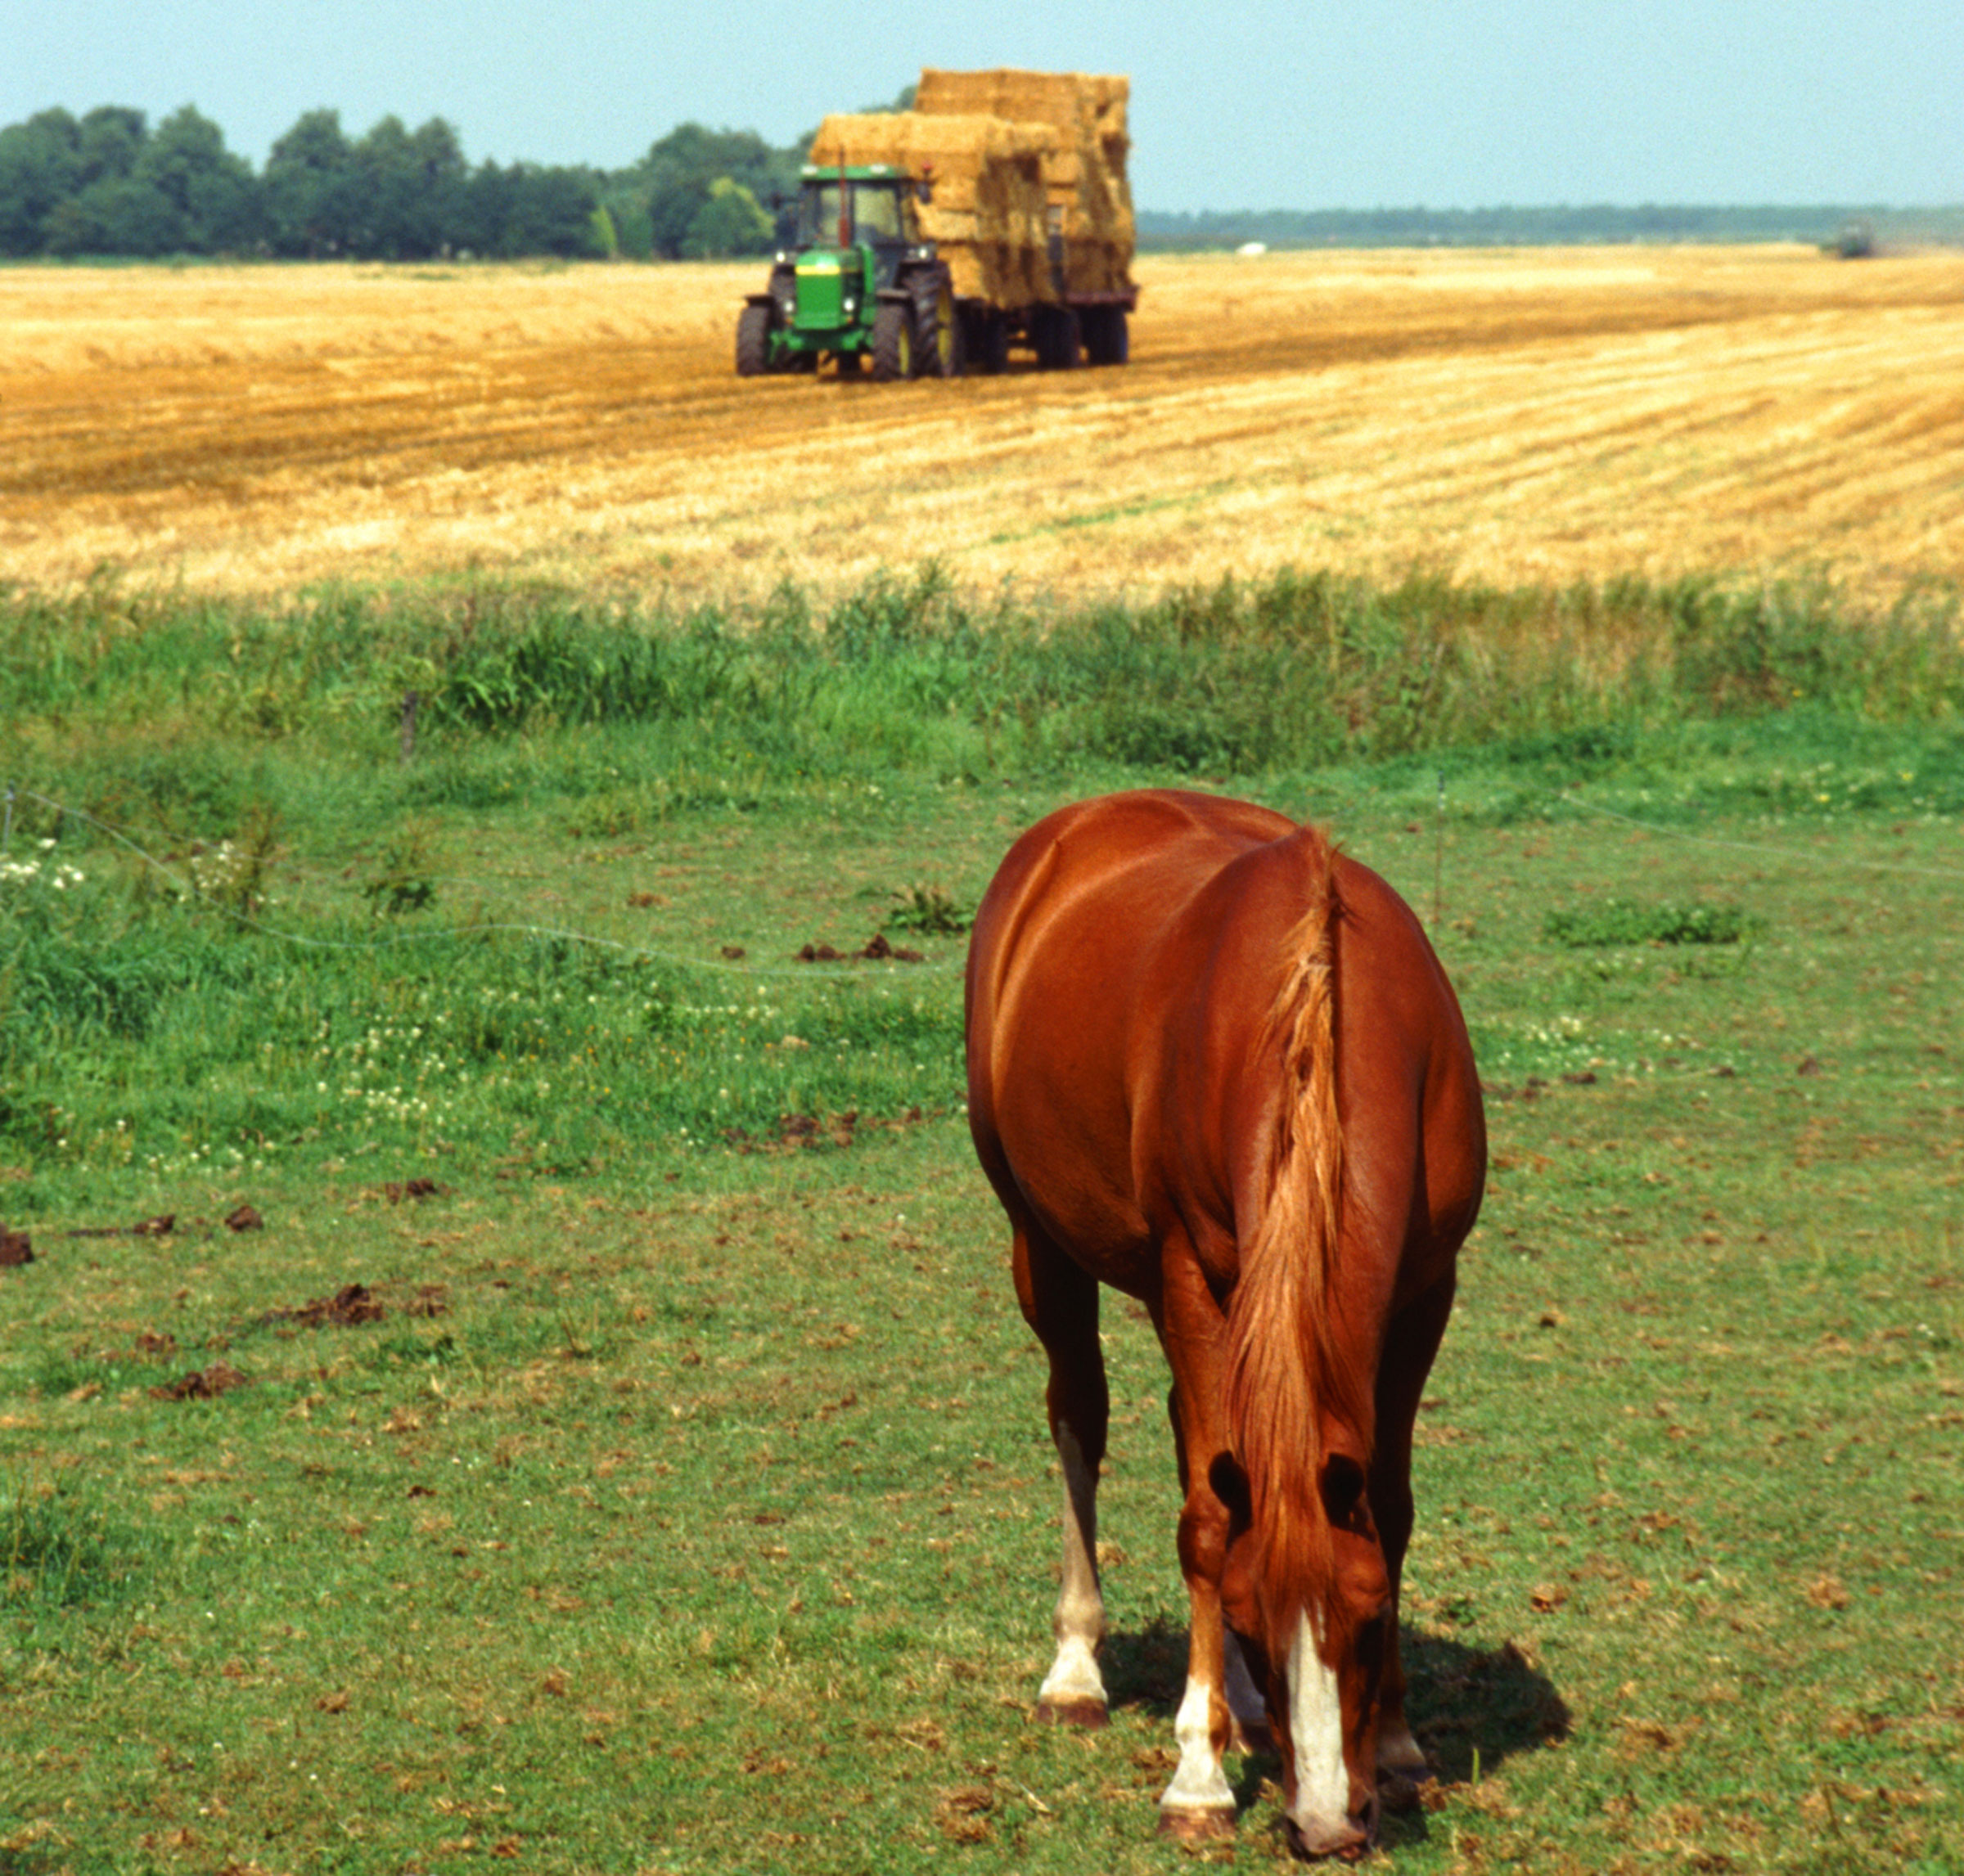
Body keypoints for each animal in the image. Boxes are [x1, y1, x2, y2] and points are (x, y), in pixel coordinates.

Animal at [964, 789, 1486, 1857]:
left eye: (1370, 1619)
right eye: (1246, 1620)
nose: (1327, 1823)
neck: (1317, 1008)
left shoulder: (1428, 1287)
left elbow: (1391, 1505)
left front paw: (1401, 1744)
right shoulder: (1189, 1277)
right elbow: (1207, 1524)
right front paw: (1197, 1779)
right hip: (1041, 1245)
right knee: (1080, 1414)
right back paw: (1078, 1670)